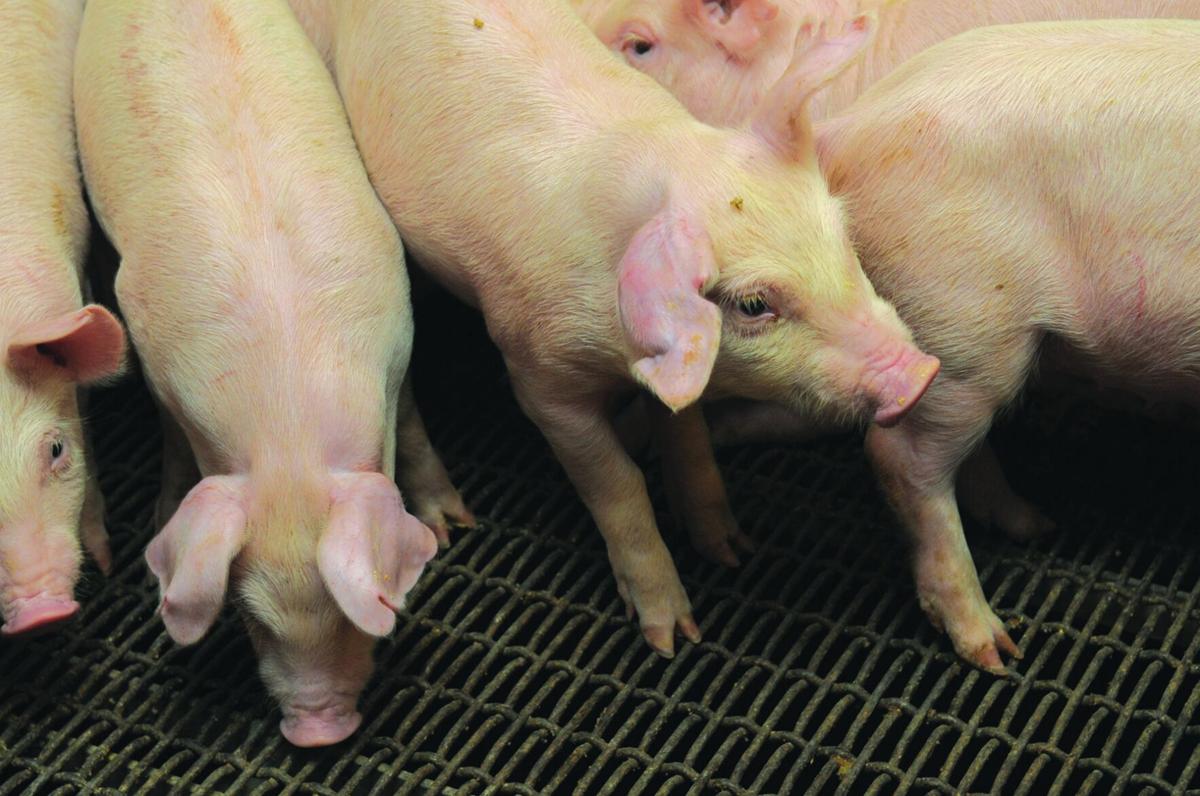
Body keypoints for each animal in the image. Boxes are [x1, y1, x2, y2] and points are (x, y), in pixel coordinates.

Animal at [74, 0, 471, 746]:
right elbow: (173, 443)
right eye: (252, 620)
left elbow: (413, 423)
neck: (288, 425)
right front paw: (163, 515)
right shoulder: (152, 353)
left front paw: (449, 527)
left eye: (359, 617)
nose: (319, 730)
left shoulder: (396, 325)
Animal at [285, 0, 939, 658]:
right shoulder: (538, 379)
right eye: (754, 304)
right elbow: (618, 485)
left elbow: (690, 440)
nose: (920, 373)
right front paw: (672, 638)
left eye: (841, 231)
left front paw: (731, 551)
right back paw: (452, 524)